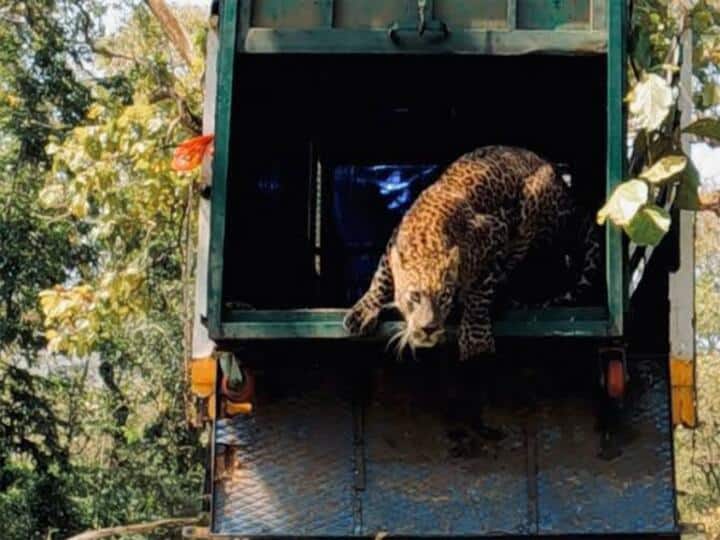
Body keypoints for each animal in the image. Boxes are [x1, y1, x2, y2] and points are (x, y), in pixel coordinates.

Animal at [343, 145, 600, 362]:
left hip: (535, 197)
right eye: (415, 297)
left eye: (443, 296)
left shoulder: (496, 233)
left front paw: (476, 339)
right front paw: (362, 311)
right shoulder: (394, 241)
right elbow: (382, 276)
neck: (426, 242)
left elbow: (480, 291)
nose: (429, 329)